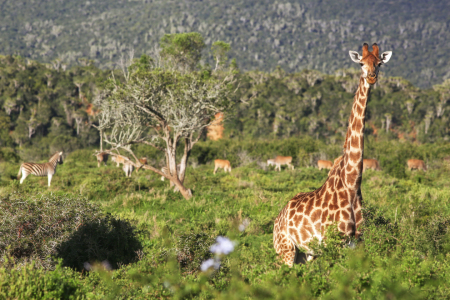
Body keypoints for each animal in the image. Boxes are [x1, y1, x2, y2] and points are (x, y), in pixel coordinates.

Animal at [272, 43, 392, 266]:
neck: (352, 184)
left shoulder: (356, 243)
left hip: (306, 254)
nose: (372, 77)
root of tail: (277, 218)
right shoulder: (333, 242)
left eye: (379, 63)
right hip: (285, 249)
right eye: (361, 63)